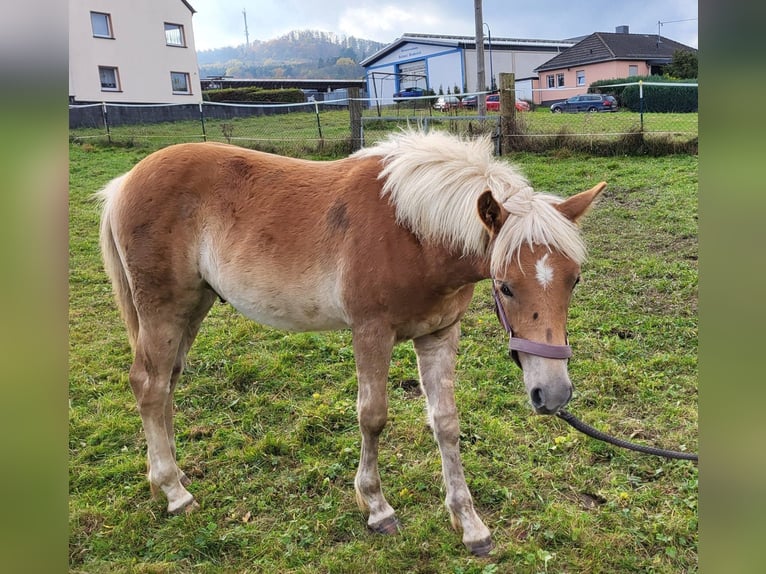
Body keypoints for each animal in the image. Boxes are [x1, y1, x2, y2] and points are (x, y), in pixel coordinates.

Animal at [97, 132, 608, 560]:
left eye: (575, 280)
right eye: (504, 286)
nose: (553, 394)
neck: (412, 231)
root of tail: (125, 182)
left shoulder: (439, 334)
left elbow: (446, 423)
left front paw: (470, 525)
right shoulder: (371, 332)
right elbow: (373, 416)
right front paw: (377, 507)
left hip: (192, 306)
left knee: (167, 383)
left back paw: (168, 476)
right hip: (163, 309)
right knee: (148, 385)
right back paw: (175, 492)